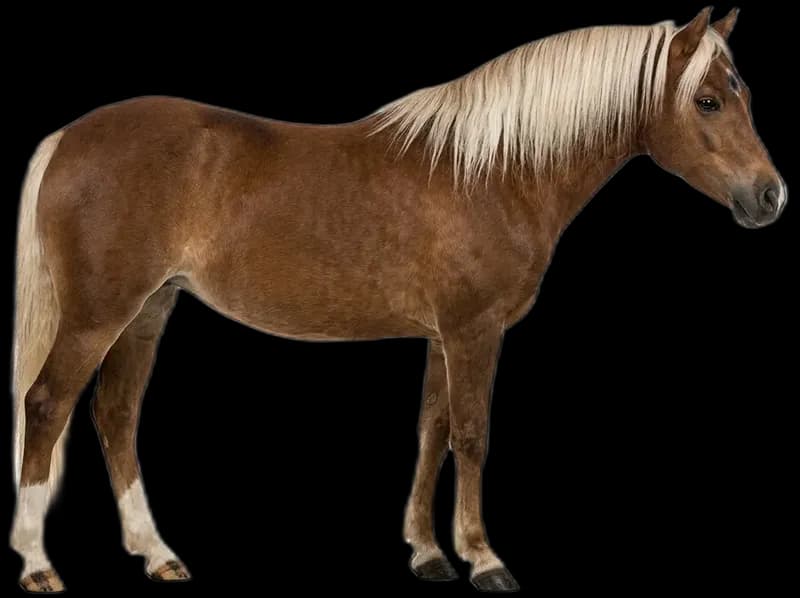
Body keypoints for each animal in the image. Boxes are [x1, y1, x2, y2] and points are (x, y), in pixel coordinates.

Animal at [10, 7, 786, 593]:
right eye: (708, 100)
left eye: (743, 94)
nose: (770, 196)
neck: (493, 169)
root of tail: (68, 137)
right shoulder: (474, 332)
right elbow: (471, 435)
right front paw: (483, 558)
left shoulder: (443, 336)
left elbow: (431, 431)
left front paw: (428, 553)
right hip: (98, 315)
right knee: (47, 406)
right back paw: (38, 563)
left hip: (147, 311)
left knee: (115, 416)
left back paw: (158, 555)